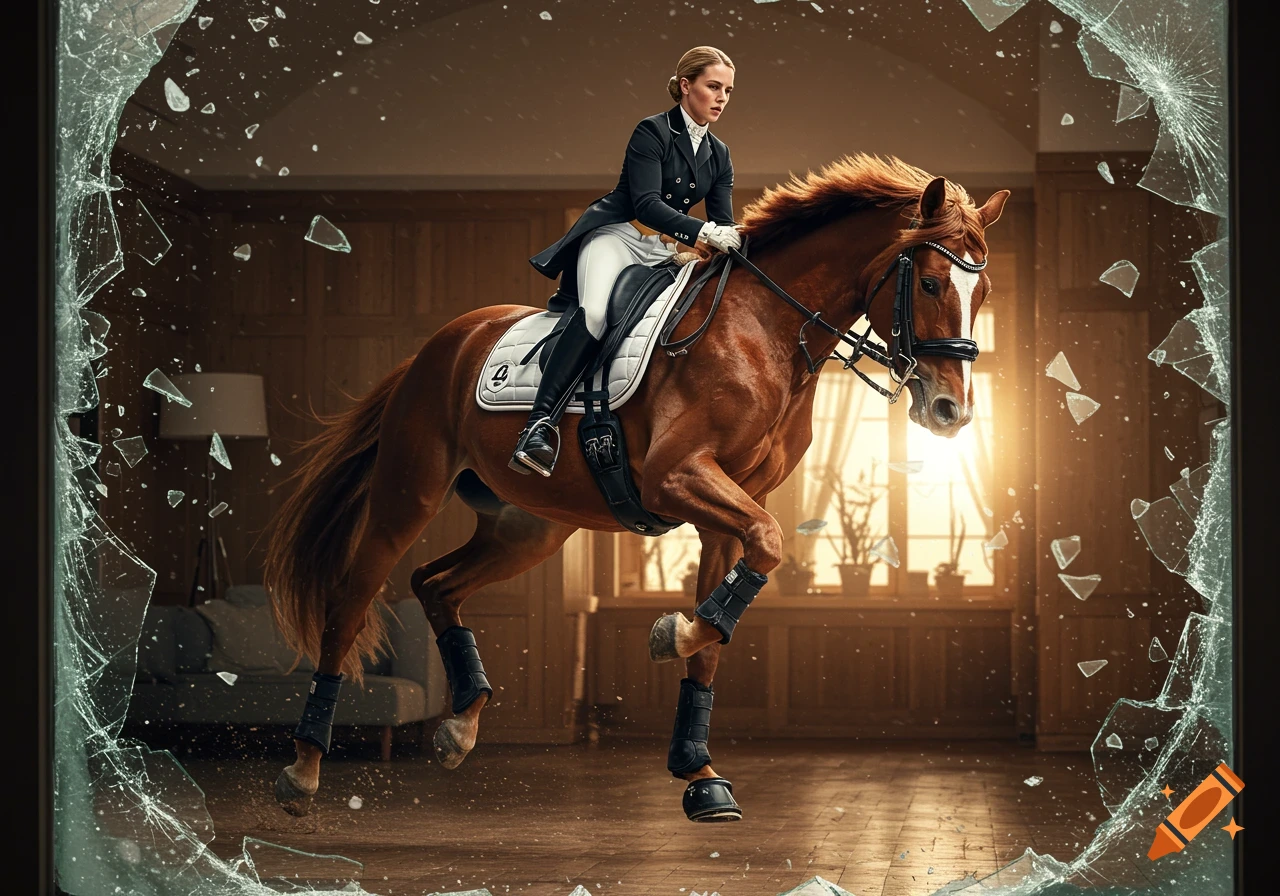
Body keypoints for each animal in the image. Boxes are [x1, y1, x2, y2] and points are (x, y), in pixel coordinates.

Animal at [264, 153, 1009, 820]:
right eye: (933, 284)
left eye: (983, 294)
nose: (951, 412)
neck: (766, 330)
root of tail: (437, 345)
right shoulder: (676, 477)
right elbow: (764, 549)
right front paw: (671, 636)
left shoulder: (728, 508)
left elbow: (722, 624)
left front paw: (699, 772)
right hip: (407, 494)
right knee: (351, 600)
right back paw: (303, 769)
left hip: (529, 526)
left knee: (435, 583)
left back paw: (460, 726)